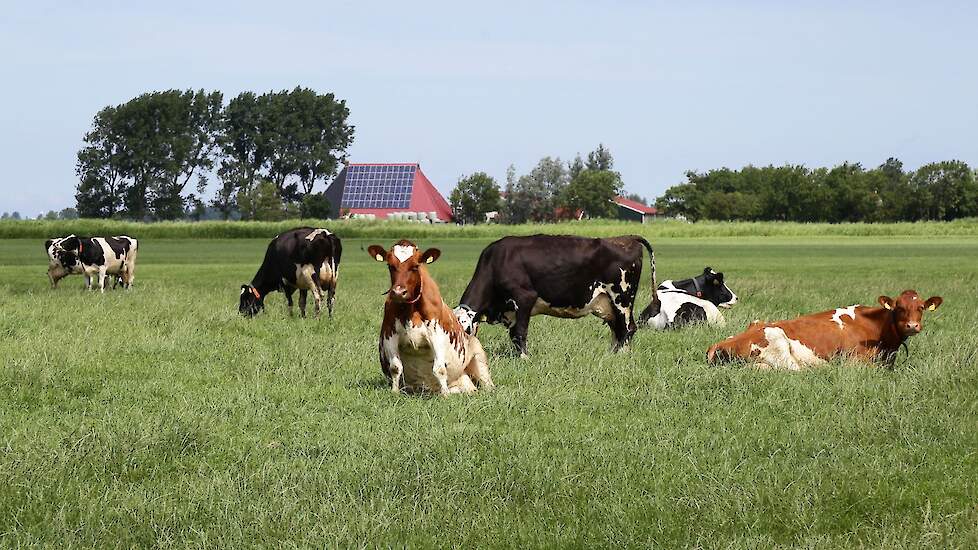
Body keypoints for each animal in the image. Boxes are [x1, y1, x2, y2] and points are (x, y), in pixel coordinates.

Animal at [366, 242, 492, 396]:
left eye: (415, 266)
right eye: (390, 265)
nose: (398, 292)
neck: (410, 310)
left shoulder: (437, 335)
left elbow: (439, 369)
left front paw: (445, 395)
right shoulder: (389, 336)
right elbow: (395, 367)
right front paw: (395, 392)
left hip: (479, 358)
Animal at [450, 234, 656, 356]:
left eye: (465, 330)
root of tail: (627, 238)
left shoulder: (524, 298)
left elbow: (519, 333)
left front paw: (524, 358)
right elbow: (513, 334)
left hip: (623, 298)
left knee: (628, 329)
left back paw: (621, 355)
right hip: (609, 304)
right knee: (618, 330)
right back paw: (611, 354)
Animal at [704, 292, 940, 374]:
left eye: (920, 307)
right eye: (899, 308)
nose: (912, 326)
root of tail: (717, 344)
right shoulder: (854, 362)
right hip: (779, 345)